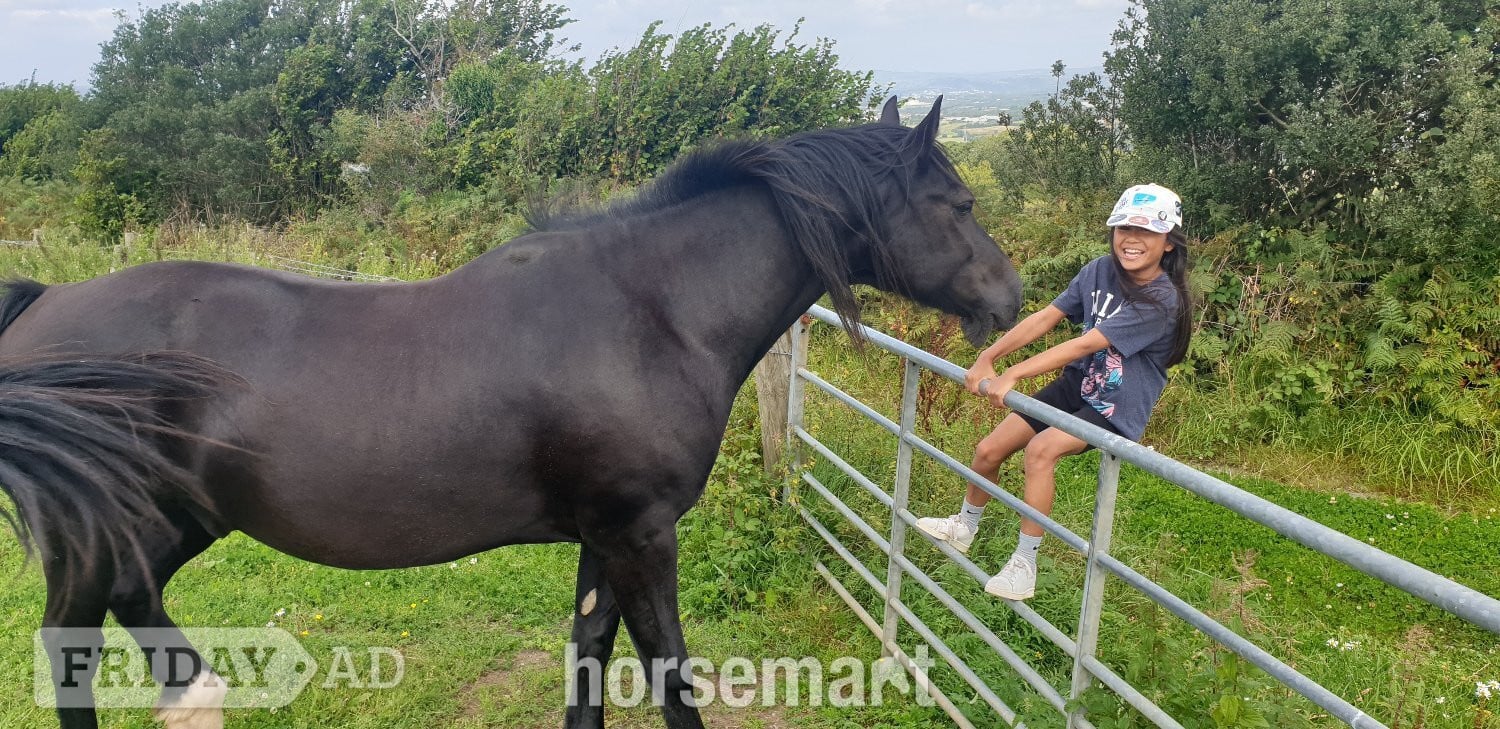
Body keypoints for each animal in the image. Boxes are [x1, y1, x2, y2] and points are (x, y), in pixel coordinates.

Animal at [0, 96, 1022, 729]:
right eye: (957, 200)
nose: (1009, 299)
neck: (651, 310)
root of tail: (42, 307)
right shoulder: (642, 534)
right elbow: (669, 674)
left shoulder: (604, 539)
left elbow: (589, 661)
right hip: (99, 529)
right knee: (72, 641)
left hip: (176, 518)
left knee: (132, 607)